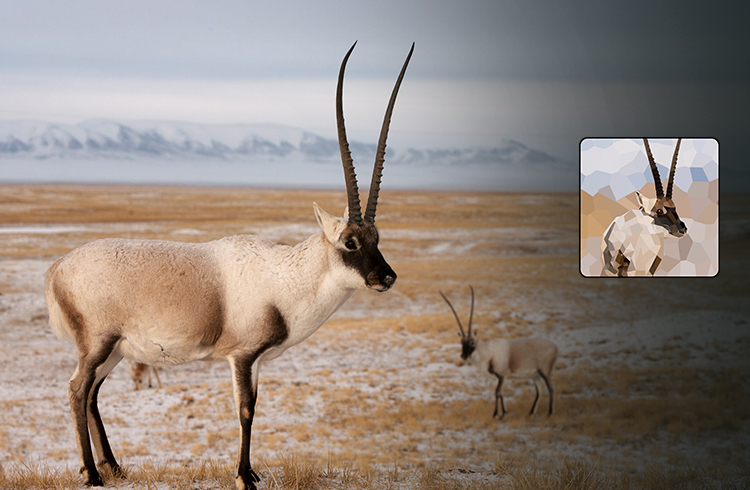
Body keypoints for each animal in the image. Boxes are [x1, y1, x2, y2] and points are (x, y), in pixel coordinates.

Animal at [44, 42, 411, 490]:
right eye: (350, 242)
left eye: (378, 239)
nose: (386, 277)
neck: (284, 275)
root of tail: (58, 267)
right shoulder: (242, 356)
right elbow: (246, 409)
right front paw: (243, 476)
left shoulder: (257, 361)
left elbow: (256, 406)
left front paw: (251, 471)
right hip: (98, 344)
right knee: (78, 389)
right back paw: (93, 474)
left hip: (113, 350)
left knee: (93, 393)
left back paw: (113, 467)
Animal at [440, 286, 557, 419]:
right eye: (461, 343)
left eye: (472, 343)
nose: (463, 356)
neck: (487, 351)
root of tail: (555, 347)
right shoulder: (499, 378)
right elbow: (500, 393)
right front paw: (504, 412)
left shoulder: (501, 376)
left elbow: (497, 392)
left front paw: (496, 414)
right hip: (535, 375)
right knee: (540, 390)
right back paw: (531, 412)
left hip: (545, 371)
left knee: (551, 388)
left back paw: (550, 413)